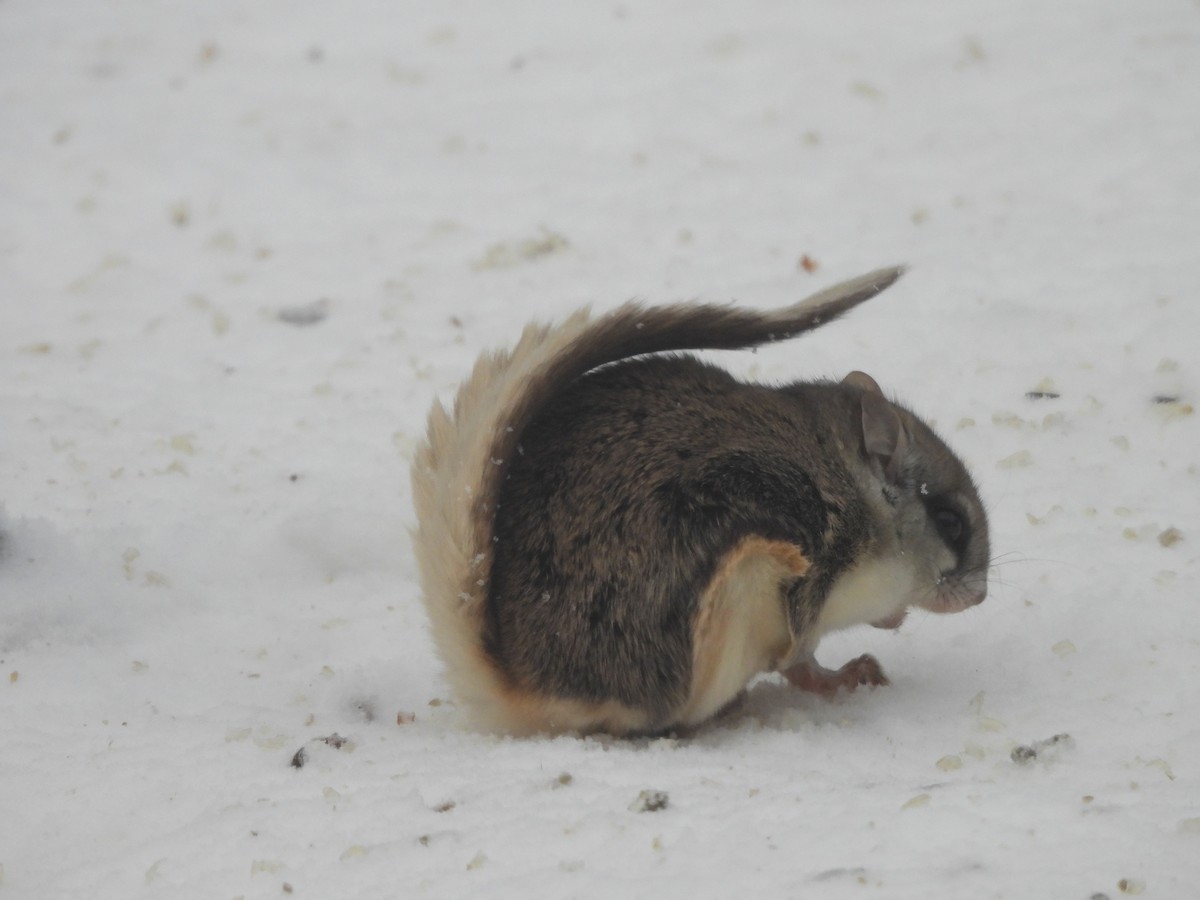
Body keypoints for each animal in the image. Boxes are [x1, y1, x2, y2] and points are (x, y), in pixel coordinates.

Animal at [411, 266, 989, 736]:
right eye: (949, 520)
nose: (979, 596)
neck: (852, 488)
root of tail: (524, 688)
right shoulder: (809, 578)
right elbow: (800, 660)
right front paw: (844, 674)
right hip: (739, 585)